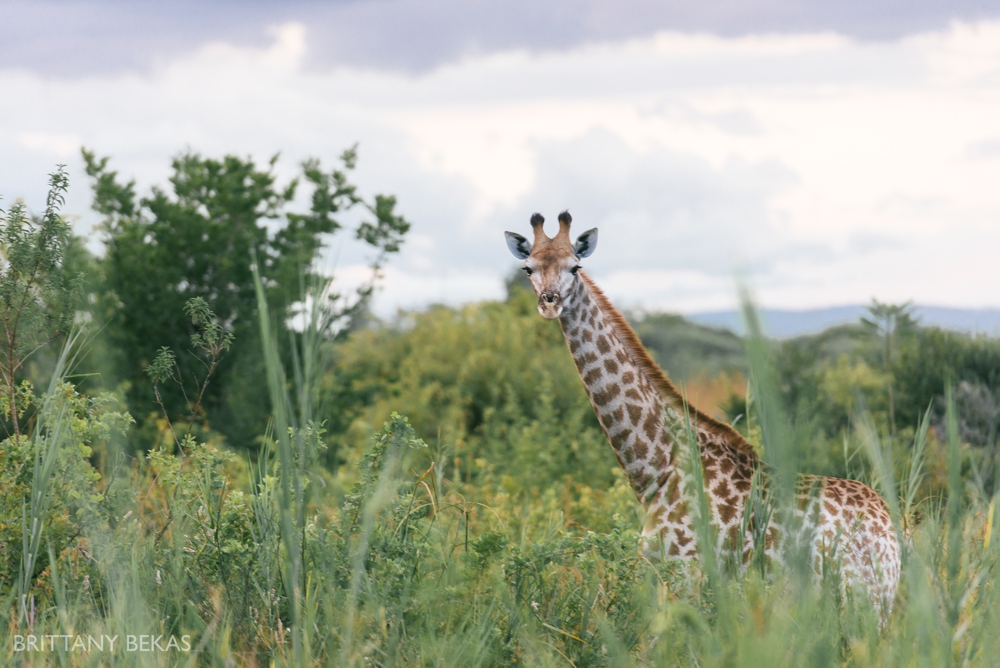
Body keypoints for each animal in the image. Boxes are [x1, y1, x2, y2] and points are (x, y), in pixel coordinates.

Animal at [504, 211, 901, 615]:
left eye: (575, 266)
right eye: (528, 268)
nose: (549, 303)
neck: (658, 467)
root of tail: (890, 538)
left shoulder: (685, 572)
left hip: (855, 599)